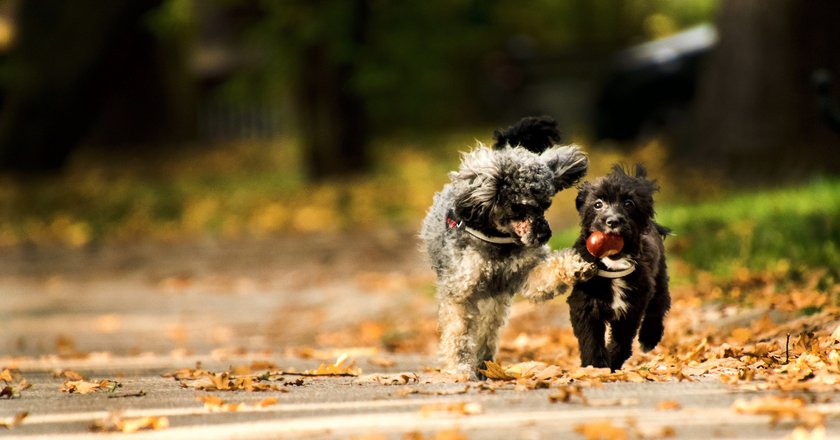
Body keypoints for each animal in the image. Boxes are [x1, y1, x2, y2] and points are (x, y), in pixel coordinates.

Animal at [568, 165, 672, 372]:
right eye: (597, 204)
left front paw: (612, 363)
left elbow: (621, 341)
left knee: (660, 303)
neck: (613, 266)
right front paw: (596, 367)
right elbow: (591, 339)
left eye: (628, 203)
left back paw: (649, 338)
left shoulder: (632, 307)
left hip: (658, 278)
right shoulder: (583, 305)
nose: (613, 221)